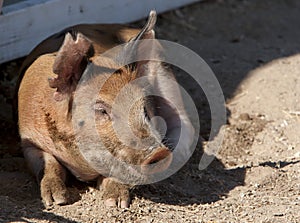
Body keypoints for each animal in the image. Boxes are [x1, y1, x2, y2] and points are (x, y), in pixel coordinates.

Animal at [17, 10, 195, 208]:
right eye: (102, 110)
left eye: (144, 109)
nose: (159, 153)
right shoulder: (28, 140)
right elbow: (50, 164)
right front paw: (56, 200)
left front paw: (115, 202)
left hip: (166, 76)